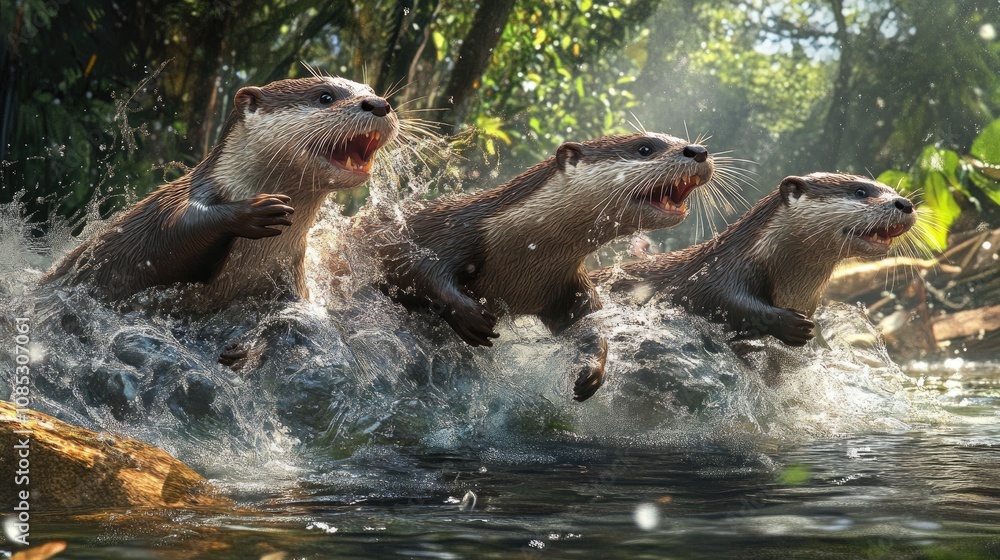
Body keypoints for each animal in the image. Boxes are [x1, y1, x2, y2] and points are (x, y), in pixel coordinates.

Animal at [45, 75, 399, 307]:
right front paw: (256, 210)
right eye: (325, 97)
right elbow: (173, 233)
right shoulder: (176, 206)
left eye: (372, 91)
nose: (379, 104)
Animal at [371, 133, 716, 401]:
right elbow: (411, 264)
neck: (523, 251)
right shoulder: (447, 231)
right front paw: (468, 315)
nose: (699, 150)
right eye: (644, 148)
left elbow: (588, 324)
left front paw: (592, 370)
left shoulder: (569, 284)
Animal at [593, 173, 917, 345]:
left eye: (892, 190)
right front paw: (791, 325)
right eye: (860, 191)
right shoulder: (718, 274)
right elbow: (723, 301)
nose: (905, 203)